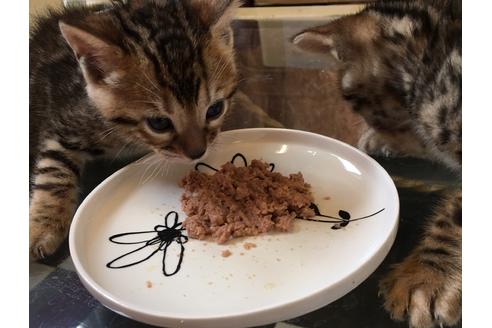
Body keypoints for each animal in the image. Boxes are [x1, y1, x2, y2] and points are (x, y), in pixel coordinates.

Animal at [28, 0, 240, 262]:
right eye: (159, 123)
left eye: (215, 109)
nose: (197, 153)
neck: (128, 137)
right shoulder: (63, 123)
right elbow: (53, 172)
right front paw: (42, 228)